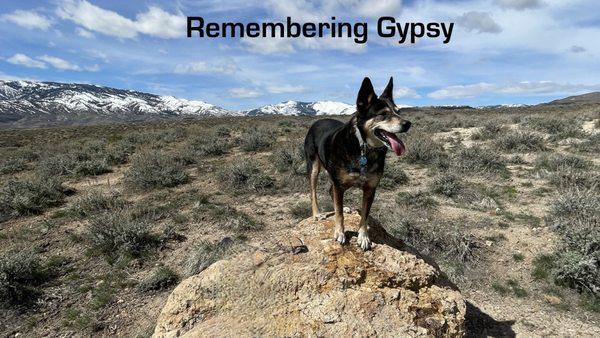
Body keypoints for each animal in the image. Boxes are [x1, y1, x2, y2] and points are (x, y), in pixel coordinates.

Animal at [304, 77, 412, 251]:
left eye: (398, 112)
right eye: (383, 114)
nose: (408, 123)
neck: (363, 147)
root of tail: (318, 121)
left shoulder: (370, 189)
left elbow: (364, 216)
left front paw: (363, 237)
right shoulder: (339, 184)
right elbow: (339, 213)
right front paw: (340, 233)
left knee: (330, 191)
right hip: (314, 167)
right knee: (313, 191)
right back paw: (317, 214)